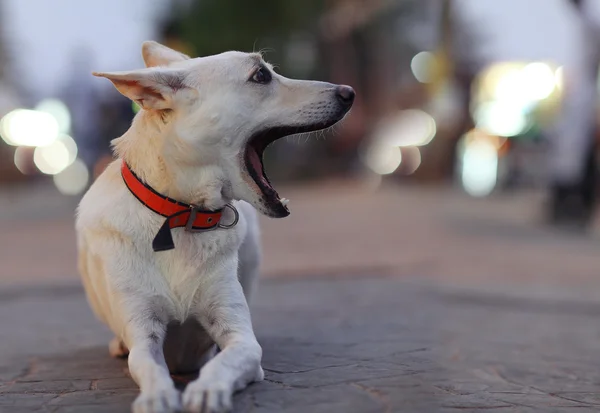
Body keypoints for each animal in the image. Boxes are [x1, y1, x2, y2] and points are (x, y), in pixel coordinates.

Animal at [77, 41, 354, 412]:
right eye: (261, 75)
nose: (349, 92)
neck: (181, 216)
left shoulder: (239, 334)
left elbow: (227, 360)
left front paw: (209, 388)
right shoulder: (143, 330)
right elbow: (148, 365)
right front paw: (156, 396)